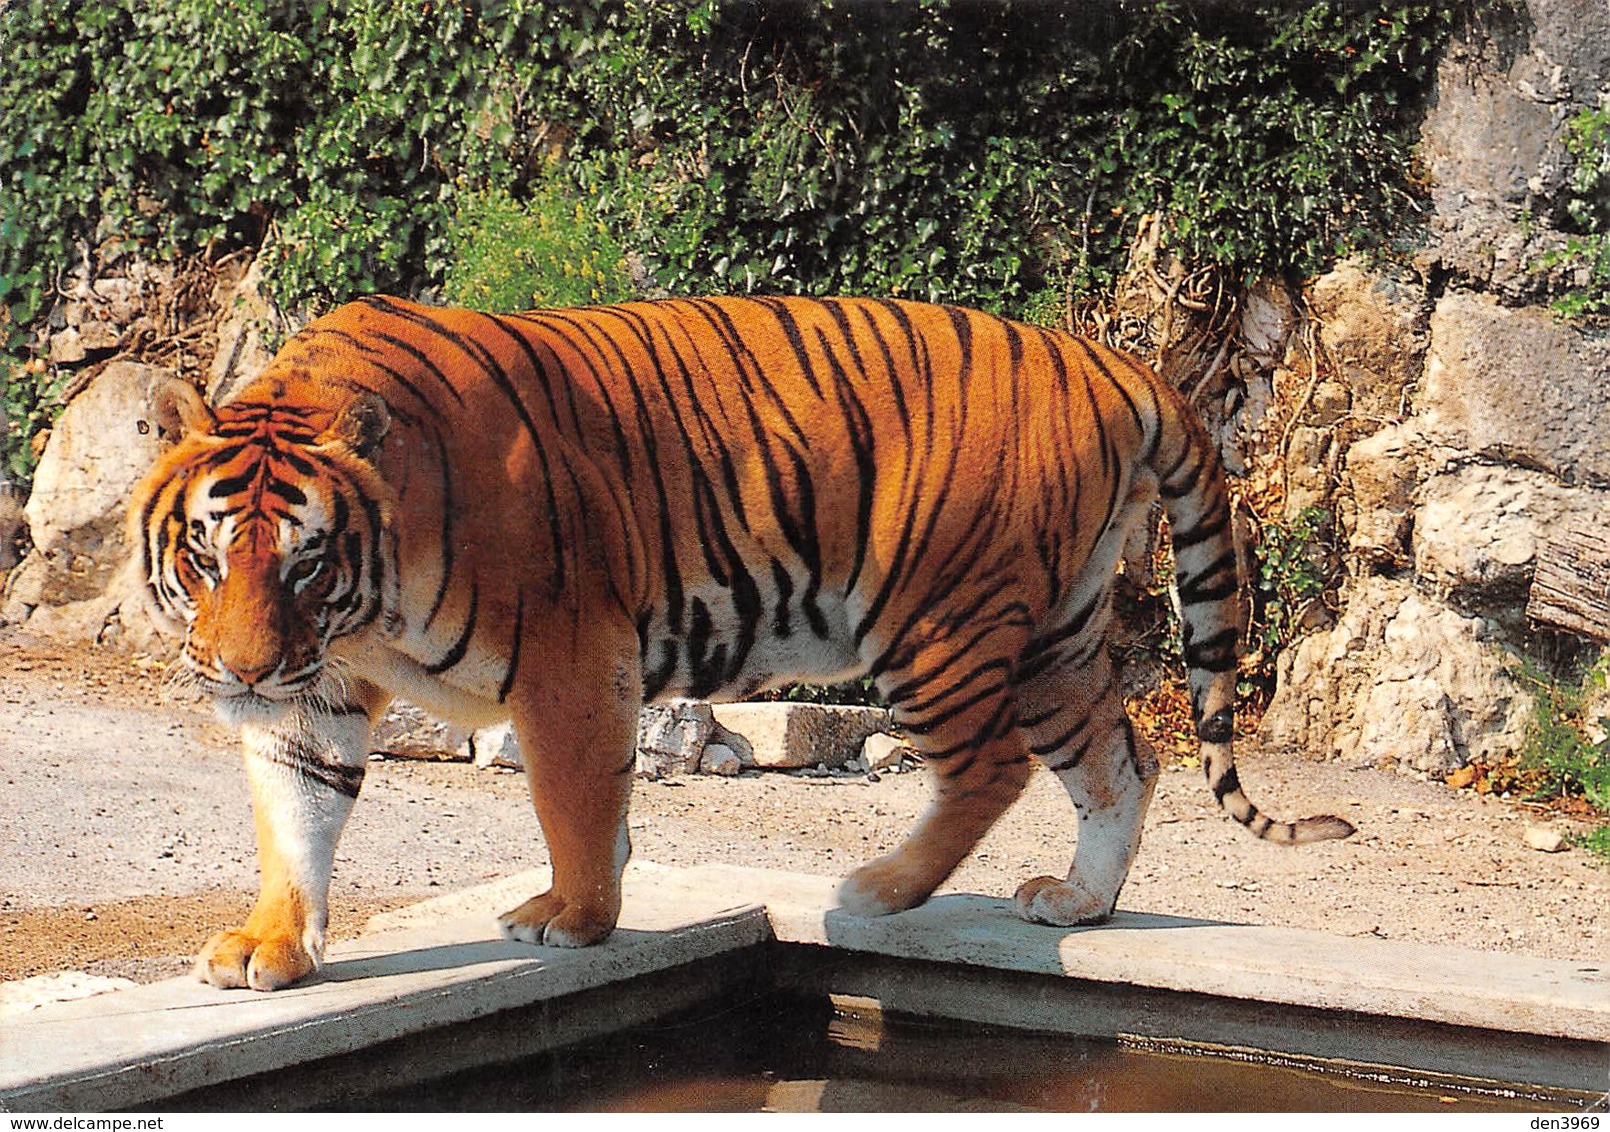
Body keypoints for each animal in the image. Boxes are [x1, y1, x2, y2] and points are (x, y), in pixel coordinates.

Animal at [128, 294, 1358, 991]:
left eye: (305, 563)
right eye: (206, 556)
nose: (238, 671)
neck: (367, 603)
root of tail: (1108, 360)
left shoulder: (571, 657)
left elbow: (573, 800)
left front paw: (573, 918)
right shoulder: (313, 691)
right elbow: (296, 817)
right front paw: (270, 947)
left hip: (936, 620)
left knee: (990, 768)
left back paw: (879, 890)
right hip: (1057, 634)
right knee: (1122, 761)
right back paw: (1078, 902)